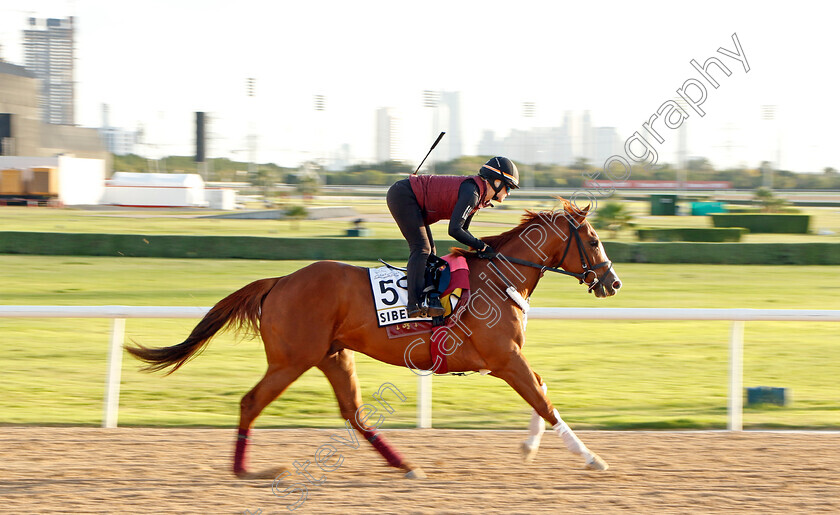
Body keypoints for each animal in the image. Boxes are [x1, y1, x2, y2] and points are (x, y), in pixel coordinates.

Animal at [128, 200, 620, 482]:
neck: (499, 279)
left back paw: (404, 465)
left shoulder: (507, 359)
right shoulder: (503, 359)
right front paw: (591, 458)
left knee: (355, 414)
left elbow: (541, 391)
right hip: (292, 360)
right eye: (594, 240)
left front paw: (529, 447)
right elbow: (543, 399)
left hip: (333, 356)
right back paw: (244, 470)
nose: (612, 282)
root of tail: (279, 281)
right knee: (252, 402)